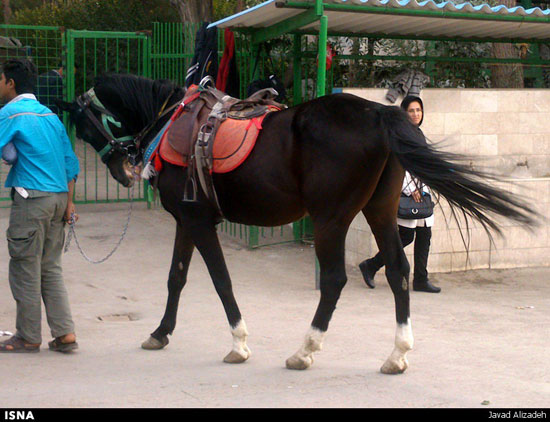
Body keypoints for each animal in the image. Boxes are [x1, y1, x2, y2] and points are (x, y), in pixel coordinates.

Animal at [59, 74, 540, 374]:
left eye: (81, 126)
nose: (122, 171)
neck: (173, 123)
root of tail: (379, 114)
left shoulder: (198, 222)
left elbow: (220, 281)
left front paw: (239, 343)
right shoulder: (187, 220)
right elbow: (176, 277)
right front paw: (160, 333)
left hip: (331, 219)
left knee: (334, 279)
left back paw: (305, 350)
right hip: (380, 210)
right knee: (399, 271)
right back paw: (397, 354)